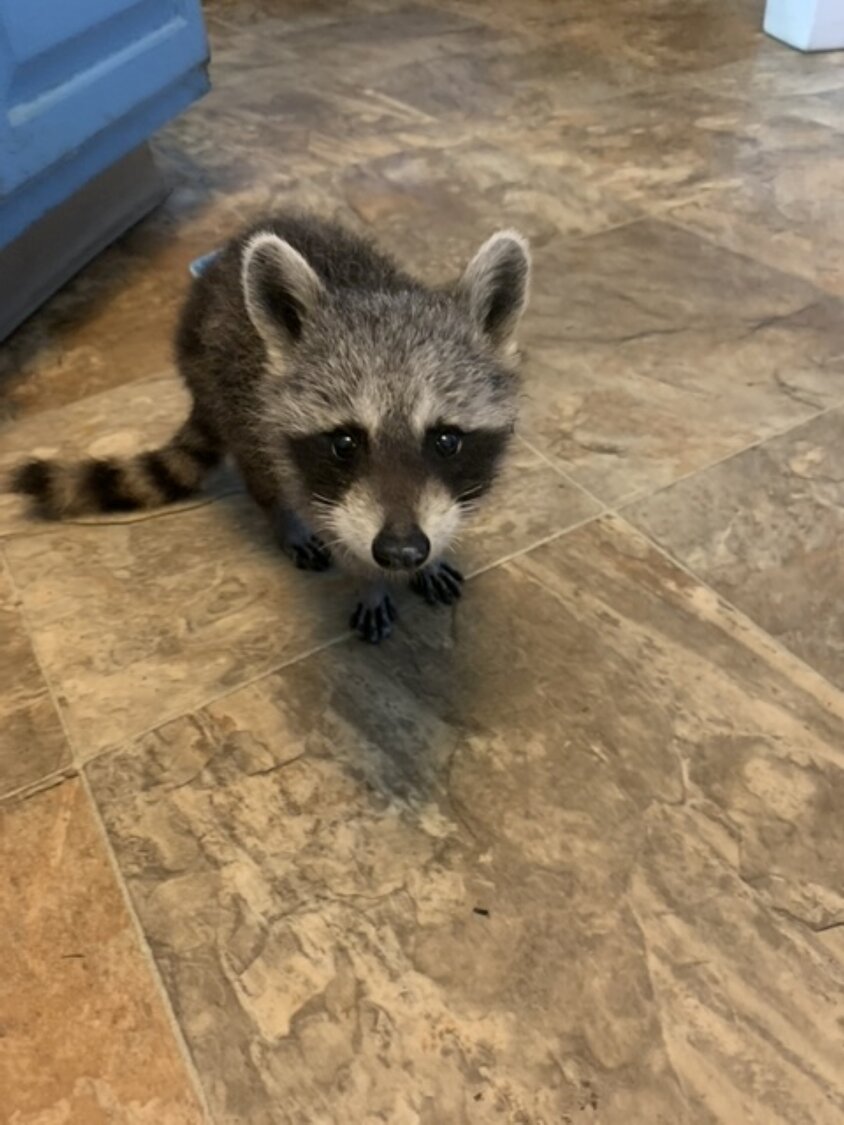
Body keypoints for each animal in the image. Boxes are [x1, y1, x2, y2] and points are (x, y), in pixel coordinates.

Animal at [11, 214, 531, 642]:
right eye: (345, 443)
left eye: (446, 440)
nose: (402, 551)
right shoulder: (313, 477)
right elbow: (338, 531)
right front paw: (368, 580)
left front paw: (434, 556)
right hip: (231, 399)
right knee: (260, 473)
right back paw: (283, 520)